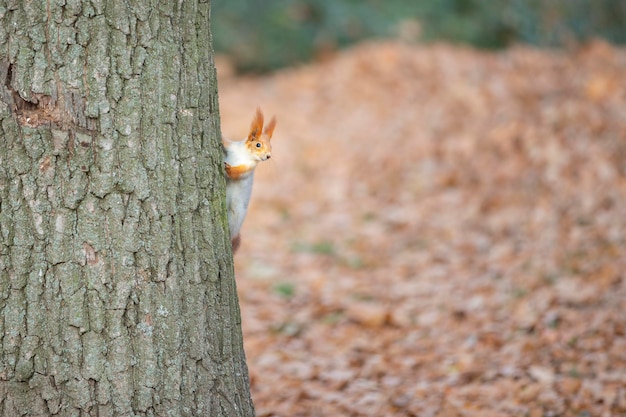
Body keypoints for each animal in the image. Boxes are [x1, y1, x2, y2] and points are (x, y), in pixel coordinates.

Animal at [222, 107, 276, 252]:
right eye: (258, 144)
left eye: (271, 146)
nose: (268, 156)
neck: (245, 154)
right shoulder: (231, 147)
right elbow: (225, 142)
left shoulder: (249, 167)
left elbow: (238, 173)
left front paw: (229, 169)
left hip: (236, 215)